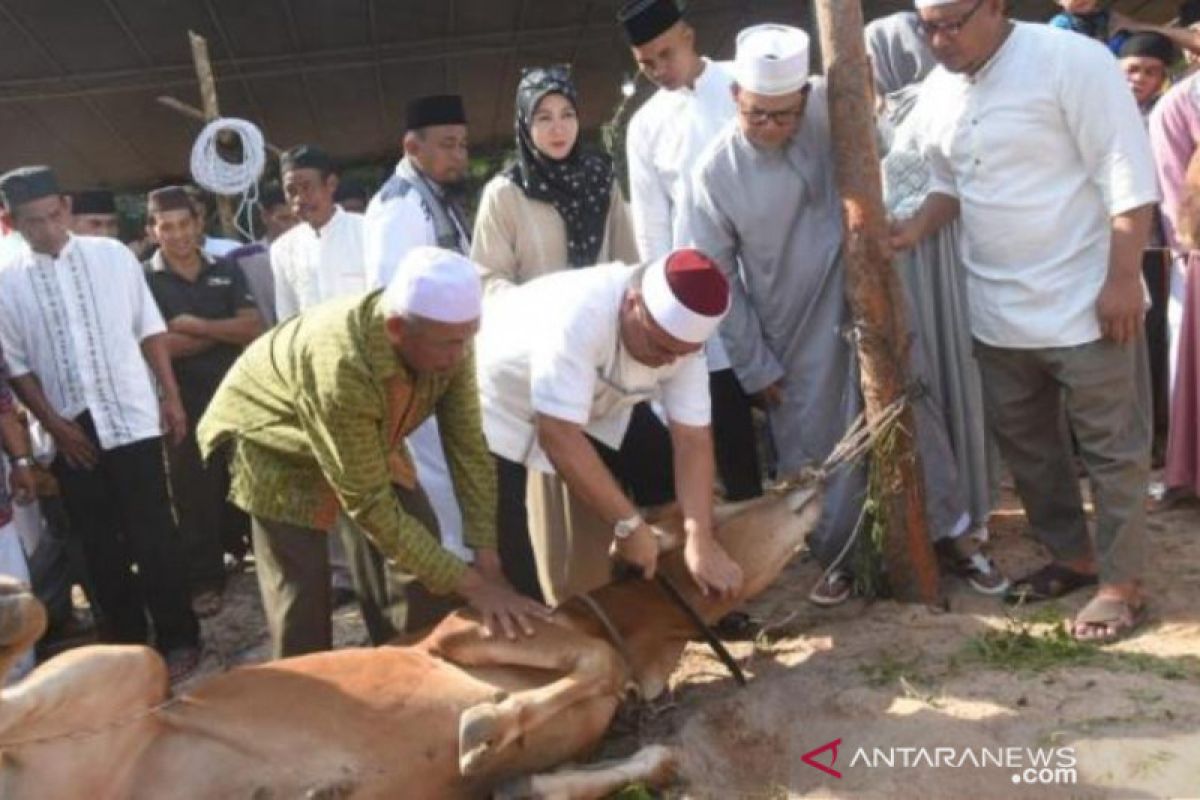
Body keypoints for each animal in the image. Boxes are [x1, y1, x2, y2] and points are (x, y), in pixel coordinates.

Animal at [0, 479, 825, 796]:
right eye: (724, 505)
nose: (807, 483)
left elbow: (648, 760)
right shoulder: (458, 638)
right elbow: (588, 660)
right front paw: (483, 722)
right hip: (128, 666)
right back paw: (15, 607)